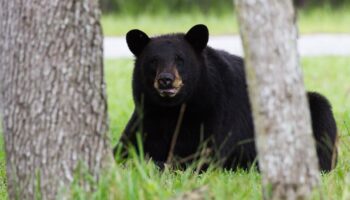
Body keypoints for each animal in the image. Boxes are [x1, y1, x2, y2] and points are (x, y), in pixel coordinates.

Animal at [116, 23, 338, 172]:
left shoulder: (215, 113)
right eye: (153, 60)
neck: (171, 110)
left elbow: (207, 156)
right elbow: (123, 150)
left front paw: (157, 163)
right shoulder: (146, 115)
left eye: (180, 59)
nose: (166, 80)